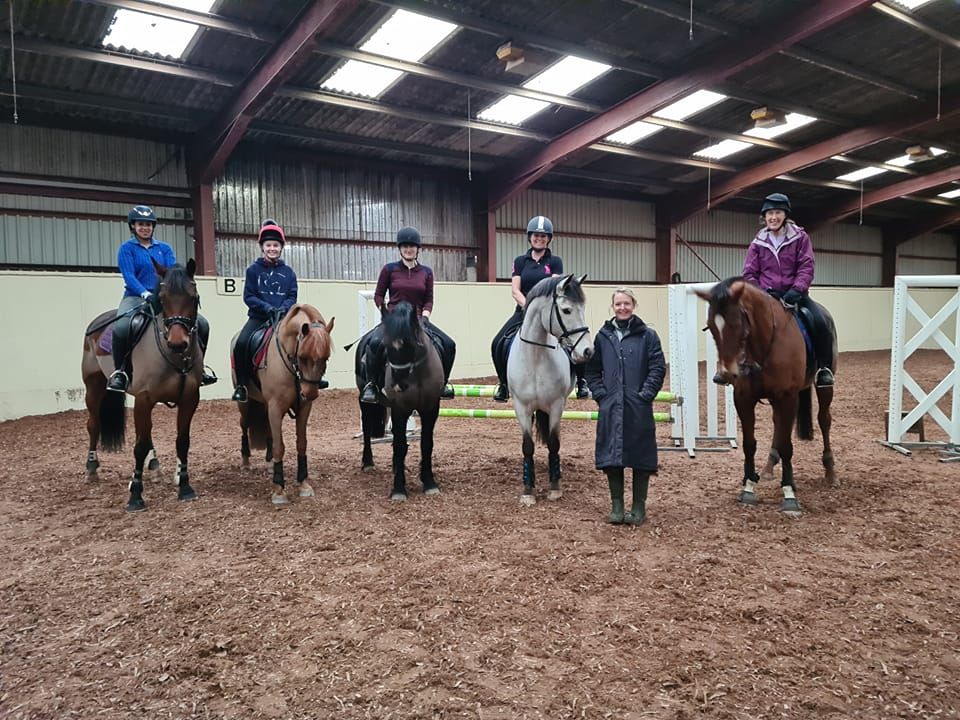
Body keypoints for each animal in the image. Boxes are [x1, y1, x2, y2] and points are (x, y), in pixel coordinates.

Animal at [81, 260, 206, 512]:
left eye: (193, 297)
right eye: (162, 298)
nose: (178, 343)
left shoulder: (189, 398)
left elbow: (182, 441)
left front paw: (185, 487)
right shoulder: (144, 398)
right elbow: (138, 446)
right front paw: (135, 496)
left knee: (147, 435)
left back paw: (155, 467)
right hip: (94, 386)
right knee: (94, 425)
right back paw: (91, 469)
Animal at [231, 304, 336, 506]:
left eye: (325, 358)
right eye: (302, 356)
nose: (309, 393)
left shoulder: (303, 408)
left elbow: (301, 444)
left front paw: (304, 484)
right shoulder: (275, 407)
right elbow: (280, 447)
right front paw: (279, 490)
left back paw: (269, 462)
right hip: (245, 404)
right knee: (243, 424)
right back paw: (246, 461)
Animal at [358, 300, 444, 500]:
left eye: (410, 344)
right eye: (386, 346)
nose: (397, 385)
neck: (417, 374)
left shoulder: (430, 409)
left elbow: (426, 444)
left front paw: (429, 482)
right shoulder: (400, 409)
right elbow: (399, 446)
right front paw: (398, 489)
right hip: (365, 400)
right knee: (366, 427)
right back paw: (368, 462)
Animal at [506, 274, 588, 506]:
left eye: (583, 308)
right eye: (567, 310)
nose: (588, 351)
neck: (535, 356)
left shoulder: (556, 405)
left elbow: (553, 443)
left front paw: (554, 487)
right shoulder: (521, 407)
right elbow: (527, 446)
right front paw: (528, 490)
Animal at [692, 278, 836, 516]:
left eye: (736, 324)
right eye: (711, 327)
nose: (725, 375)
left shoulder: (787, 397)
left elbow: (787, 446)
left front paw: (789, 494)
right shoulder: (743, 399)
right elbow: (749, 444)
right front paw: (749, 487)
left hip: (824, 387)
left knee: (824, 420)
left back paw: (831, 472)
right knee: (778, 424)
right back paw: (769, 466)